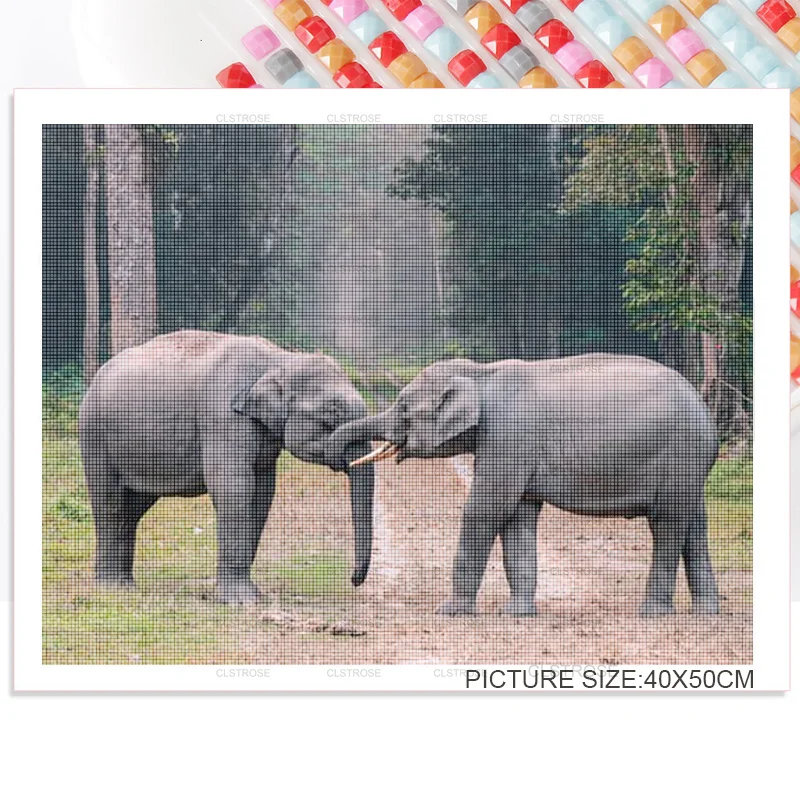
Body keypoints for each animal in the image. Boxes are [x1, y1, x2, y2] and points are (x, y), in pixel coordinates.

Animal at [79, 330, 374, 604]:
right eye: (332, 413)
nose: (353, 579)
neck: (281, 358)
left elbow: (262, 493)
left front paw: (252, 596)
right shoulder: (222, 415)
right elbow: (235, 488)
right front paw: (241, 602)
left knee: (133, 508)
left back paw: (125, 587)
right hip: (94, 435)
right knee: (111, 502)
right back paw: (112, 589)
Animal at [327, 354, 720, 618]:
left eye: (405, 410)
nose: (353, 580)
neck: (480, 374)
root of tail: (706, 412)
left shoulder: (507, 437)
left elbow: (485, 509)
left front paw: (449, 612)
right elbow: (518, 517)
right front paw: (516, 614)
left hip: (680, 454)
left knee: (667, 523)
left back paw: (652, 613)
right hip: (691, 466)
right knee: (694, 526)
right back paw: (707, 612)